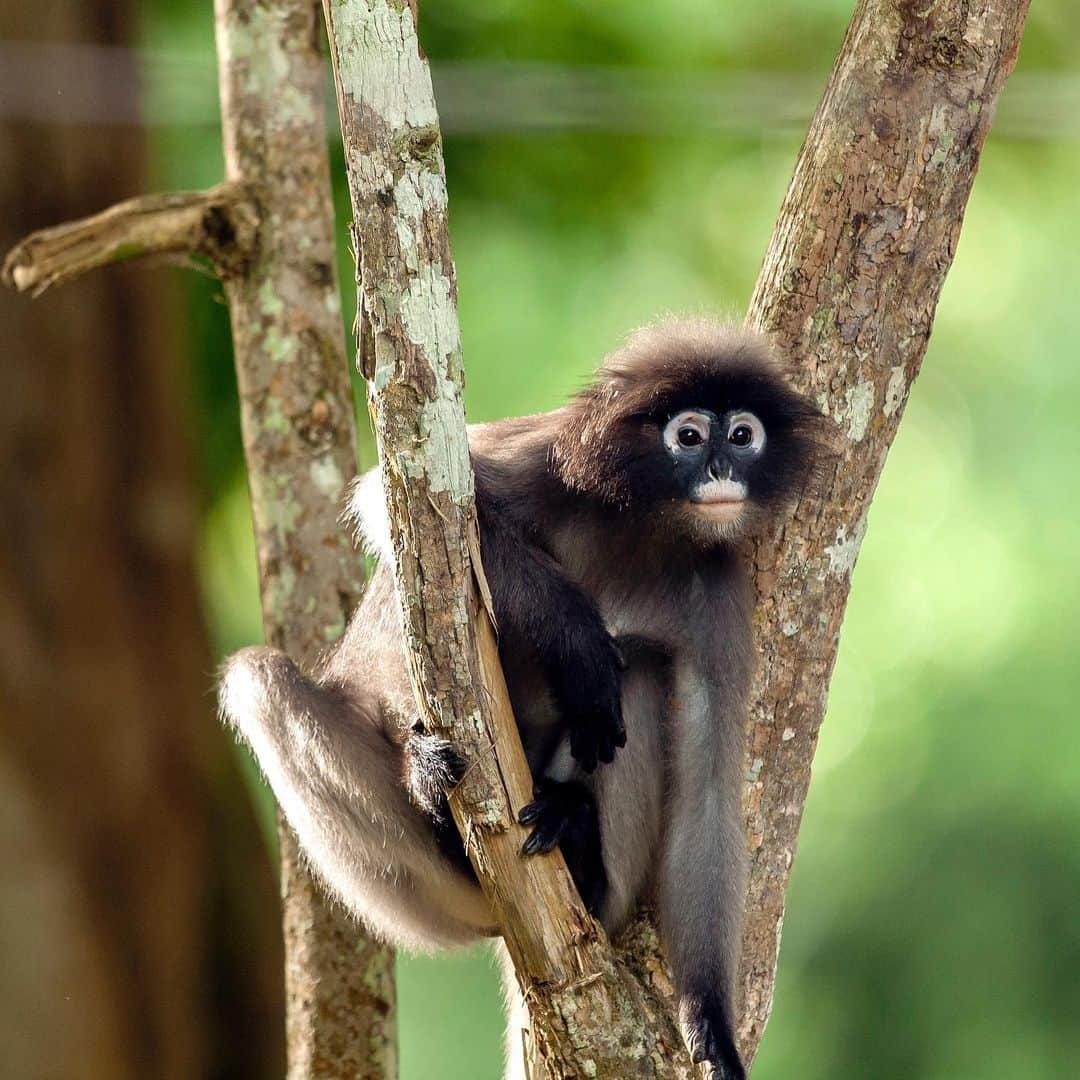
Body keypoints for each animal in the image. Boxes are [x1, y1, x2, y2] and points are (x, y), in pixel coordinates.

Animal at [217, 315, 825, 1075]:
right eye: (689, 437)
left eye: (743, 435)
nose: (722, 473)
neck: (642, 526)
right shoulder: (544, 461)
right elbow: (392, 501)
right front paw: (575, 637)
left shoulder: (718, 593)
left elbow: (709, 790)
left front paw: (710, 1021)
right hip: (419, 897)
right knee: (260, 676)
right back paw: (431, 786)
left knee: (639, 675)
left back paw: (581, 852)